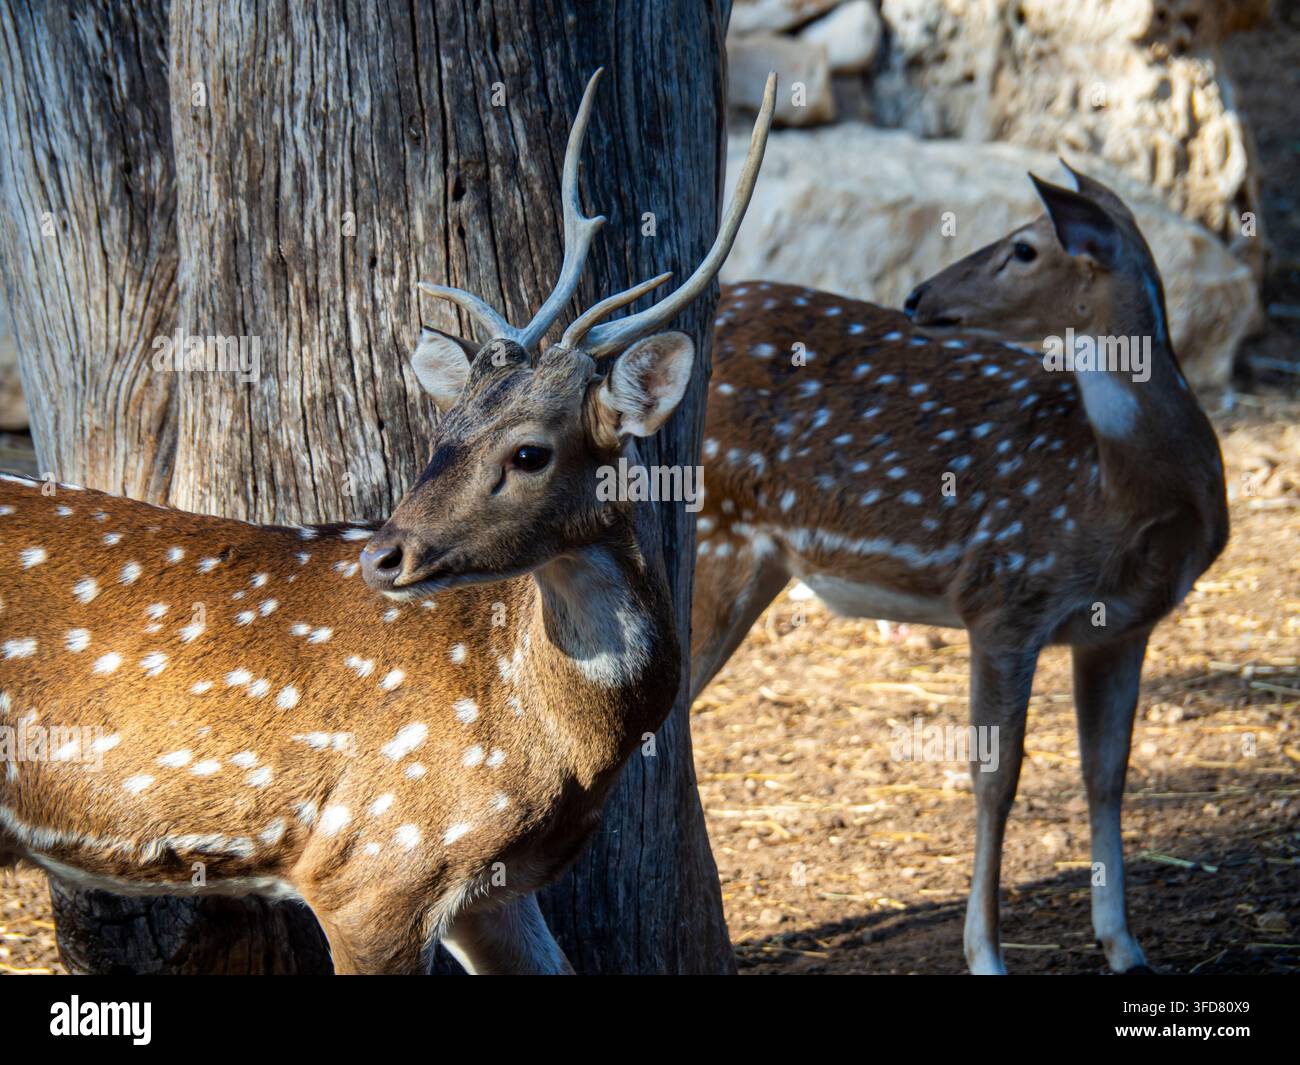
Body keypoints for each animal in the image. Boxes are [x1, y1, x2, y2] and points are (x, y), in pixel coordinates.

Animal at [0, 69, 776, 975]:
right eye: (443, 434)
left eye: (529, 452)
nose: (383, 557)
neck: (555, 744)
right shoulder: (374, 861)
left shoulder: (489, 888)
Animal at [692, 164, 1229, 974]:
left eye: (1024, 248)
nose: (917, 296)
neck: (1121, 491)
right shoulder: (1005, 592)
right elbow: (995, 779)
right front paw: (986, 954)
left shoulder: (1121, 626)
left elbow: (1108, 773)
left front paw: (1124, 946)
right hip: (712, 536)